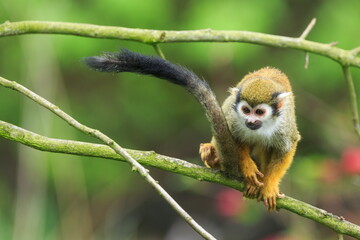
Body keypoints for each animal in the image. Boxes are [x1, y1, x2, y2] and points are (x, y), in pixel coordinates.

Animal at [83, 49, 300, 212]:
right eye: (246, 110)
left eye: (259, 112)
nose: (250, 120)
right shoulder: (233, 116)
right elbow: (233, 137)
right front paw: (247, 167)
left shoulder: (284, 125)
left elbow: (288, 147)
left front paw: (270, 185)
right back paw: (214, 155)